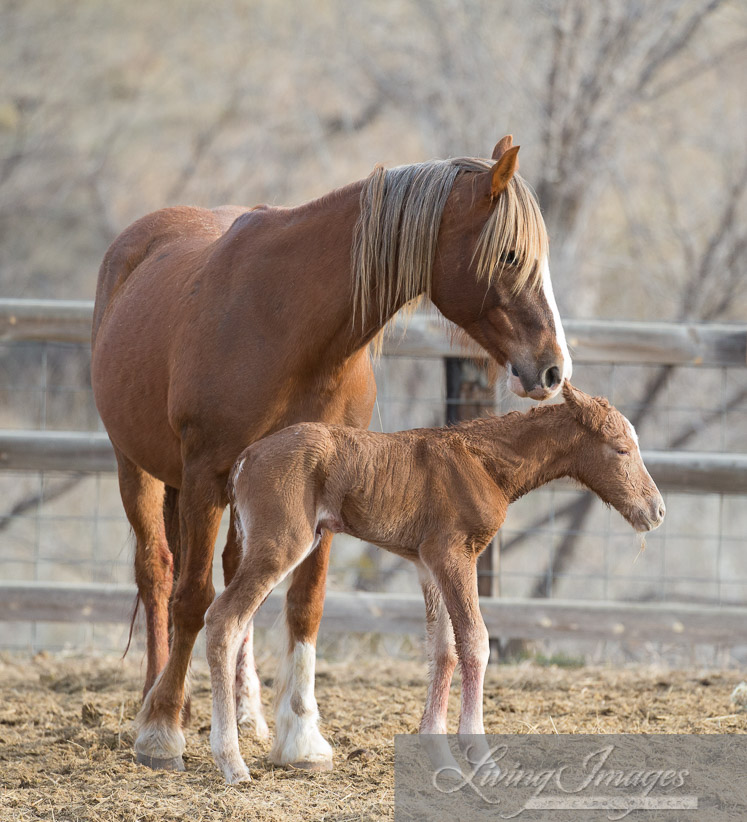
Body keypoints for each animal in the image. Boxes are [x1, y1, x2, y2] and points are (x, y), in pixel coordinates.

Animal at [205, 384, 668, 784]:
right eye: (622, 449)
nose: (657, 511)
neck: (483, 463)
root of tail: (244, 460)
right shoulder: (454, 555)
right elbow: (476, 642)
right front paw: (480, 757)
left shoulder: (428, 563)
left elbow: (443, 650)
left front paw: (440, 756)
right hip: (282, 545)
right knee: (223, 619)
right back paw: (232, 762)